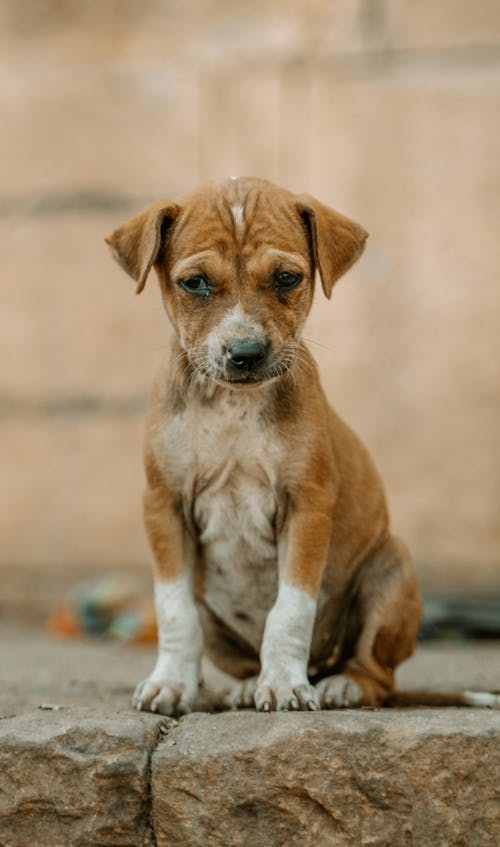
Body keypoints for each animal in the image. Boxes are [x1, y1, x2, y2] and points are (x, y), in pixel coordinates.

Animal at [105, 177, 422, 716]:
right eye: (194, 283)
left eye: (287, 278)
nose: (246, 353)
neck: (234, 403)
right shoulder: (164, 503)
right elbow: (174, 611)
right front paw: (171, 683)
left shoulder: (306, 504)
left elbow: (290, 609)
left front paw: (285, 685)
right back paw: (246, 685)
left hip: (390, 569)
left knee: (377, 673)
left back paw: (340, 685)